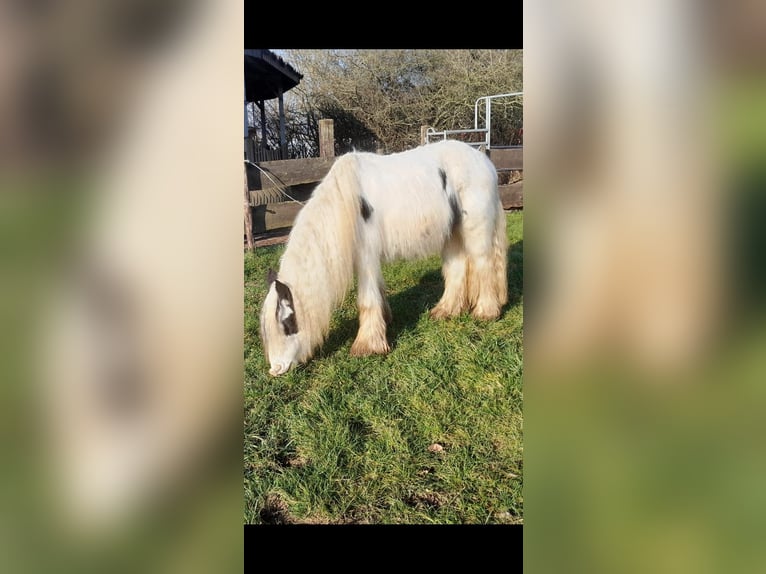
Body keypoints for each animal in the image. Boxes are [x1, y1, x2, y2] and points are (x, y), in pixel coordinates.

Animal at [260, 137, 508, 376]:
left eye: (288, 323)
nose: (277, 369)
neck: (346, 205)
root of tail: (483, 159)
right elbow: (378, 291)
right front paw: (385, 320)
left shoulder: (365, 256)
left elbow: (366, 299)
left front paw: (367, 345)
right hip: (452, 233)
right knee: (457, 268)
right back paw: (446, 310)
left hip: (476, 229)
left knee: (484, 265)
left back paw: (486, 312)